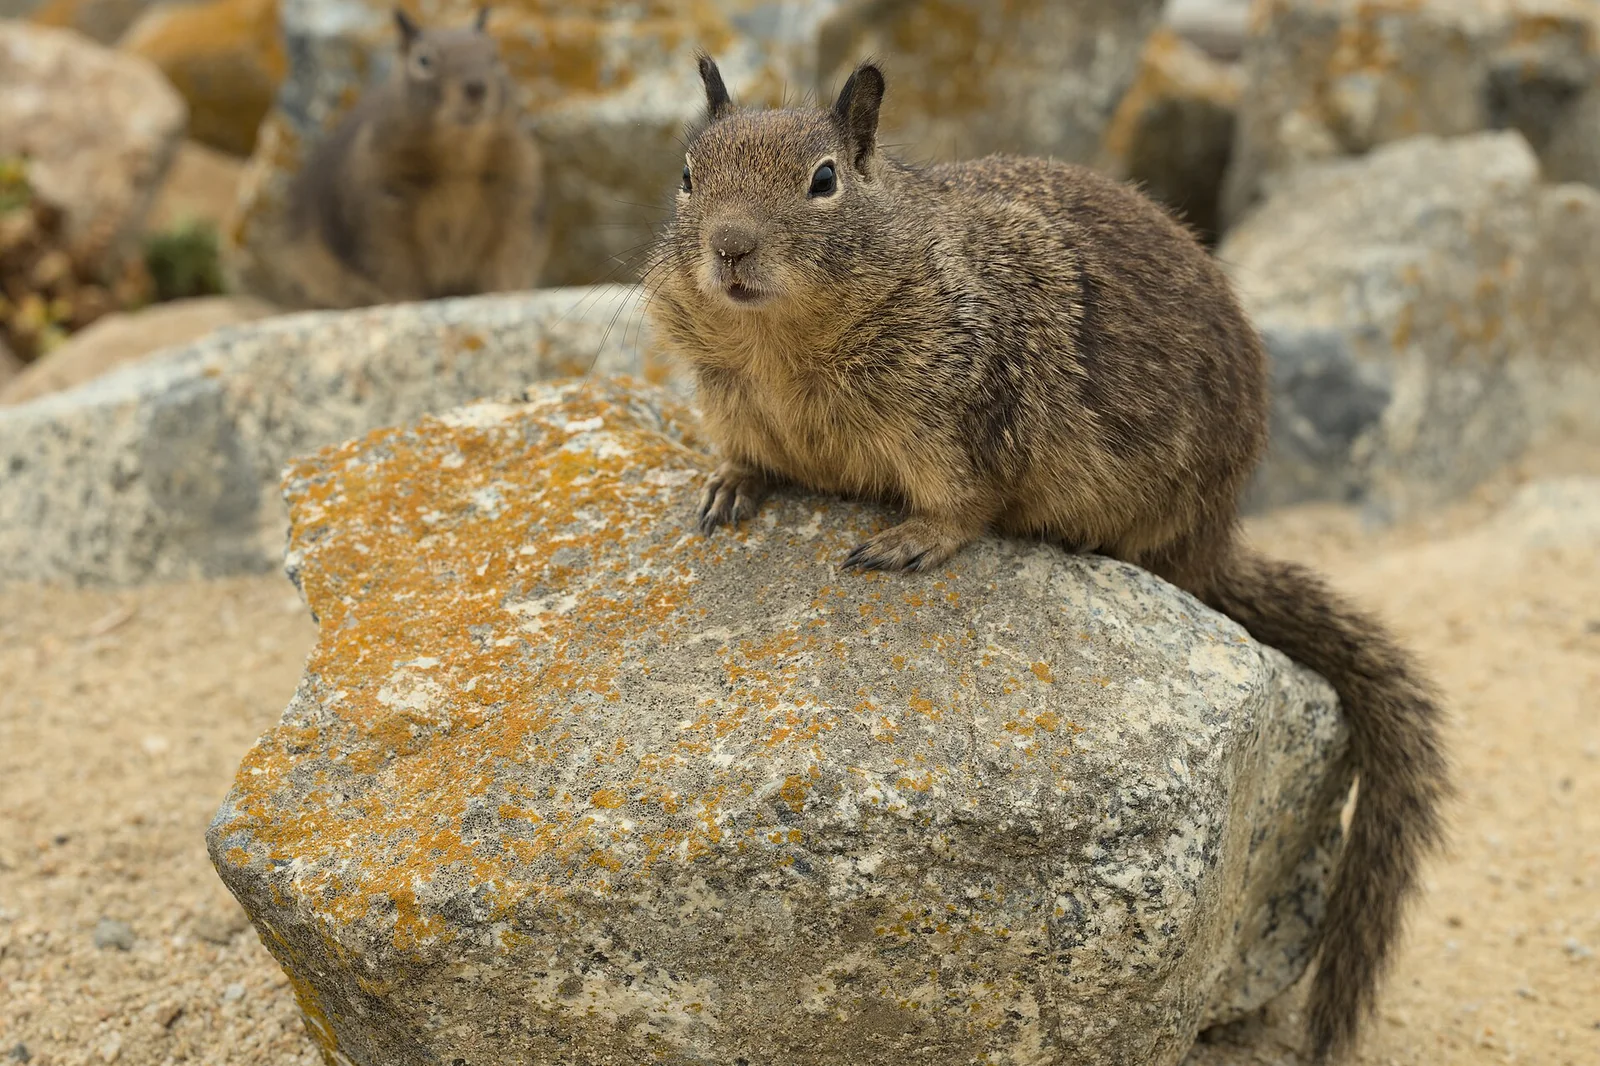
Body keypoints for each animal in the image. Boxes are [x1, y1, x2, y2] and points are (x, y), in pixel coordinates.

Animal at [279, 6, 548, 308]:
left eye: (495, 56)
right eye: (423, 60)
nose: (476, 87)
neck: (458, 157)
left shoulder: (517, 196)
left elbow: (506, 262)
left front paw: (502, 296)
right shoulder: (382, 212)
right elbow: (396, 272)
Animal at [647, 56, 1450, 1064]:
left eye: (824, 180)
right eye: (685, 175)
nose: (730, 249)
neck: (784, 347)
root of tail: (1213, 539)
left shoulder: (959, 420)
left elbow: (963, 506)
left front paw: (909, 540)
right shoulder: (736, 403)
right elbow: (745, 457)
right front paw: (726, 485)